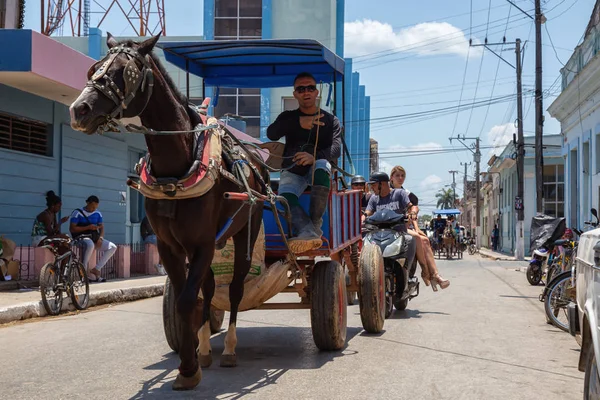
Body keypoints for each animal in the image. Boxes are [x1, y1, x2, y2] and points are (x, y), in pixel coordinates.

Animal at [67, 33, 268, 390]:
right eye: (94, 68)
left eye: (124, 71)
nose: (79, 109)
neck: (176, 167)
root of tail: (256, 160)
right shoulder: (169, 246)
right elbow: (188, 298)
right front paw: (194, 357)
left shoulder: (201, 243)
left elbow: (188, 300)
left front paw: (187, 369)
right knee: (209, 288)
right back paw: (207, 348)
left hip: (246, 229)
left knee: (234, 288)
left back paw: (229, 349)